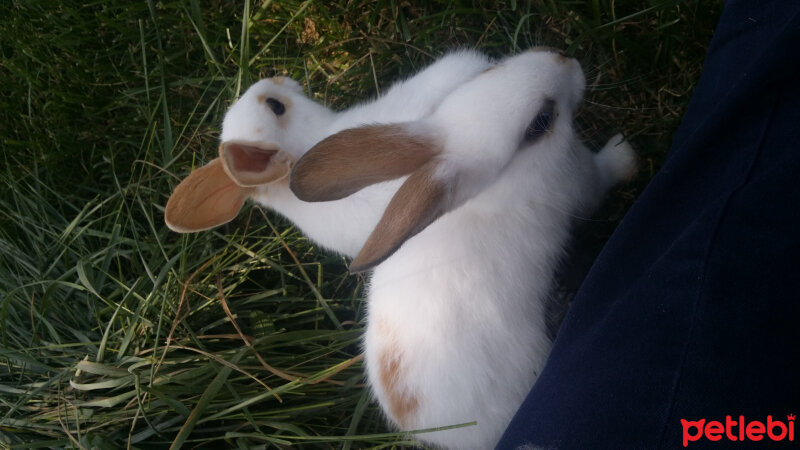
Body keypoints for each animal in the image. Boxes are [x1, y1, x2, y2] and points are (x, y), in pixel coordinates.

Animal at [290, 47, 636, 448]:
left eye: (488, 70)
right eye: (540, 122)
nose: (563, 59)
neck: (498, 183)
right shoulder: (583, 182)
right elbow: (604, 174)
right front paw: (625, 154)